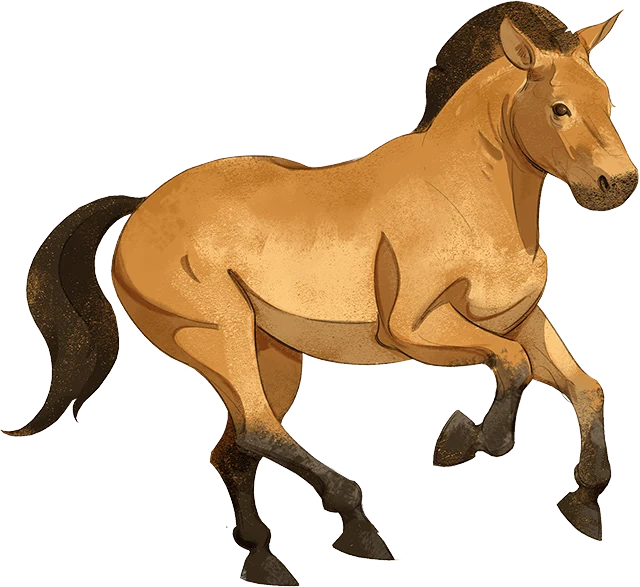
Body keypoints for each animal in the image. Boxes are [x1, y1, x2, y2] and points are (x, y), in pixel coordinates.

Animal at [3, 2, 637, 585]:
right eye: (560, 108)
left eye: (607, 100)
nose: (618, 185)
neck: (470, 196)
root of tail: (140, 207)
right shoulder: (414, 328)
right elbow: (512, 366)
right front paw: (468, 441)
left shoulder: (520, 319)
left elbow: (585, 389)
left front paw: (583, 506)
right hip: (217, 334)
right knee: (258, 431)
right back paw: (359, 528)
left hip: (271, 356)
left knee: (235, 449)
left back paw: (266, 561)